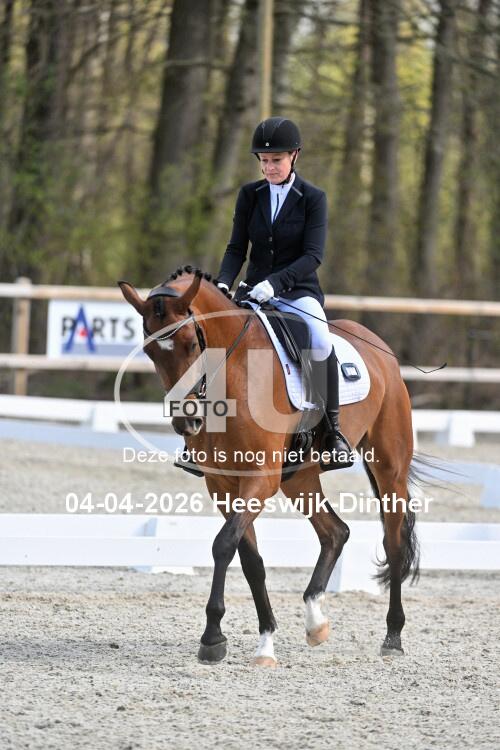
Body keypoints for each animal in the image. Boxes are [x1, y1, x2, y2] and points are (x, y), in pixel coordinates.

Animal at [119, 265, 419, 667]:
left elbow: (223, 545)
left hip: (389, 468)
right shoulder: (223, 485)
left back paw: (393, 636)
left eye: (191, 344)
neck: (233, 374)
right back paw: (315, 622)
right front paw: (264, 641)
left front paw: (212, 636)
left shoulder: (259, 480)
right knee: (335, 532)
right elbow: (250, 560)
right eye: (150, 350)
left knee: (394, 543)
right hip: (299, 479)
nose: (187, 422)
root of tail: (380, 347)